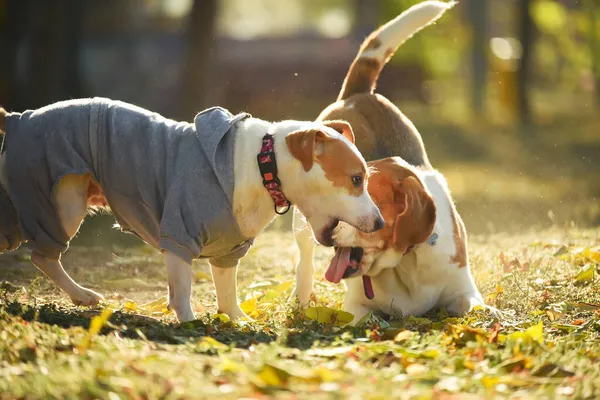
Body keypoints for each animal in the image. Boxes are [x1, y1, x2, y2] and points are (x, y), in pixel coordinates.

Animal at [0, 97, 384, 322]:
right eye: (355, 179)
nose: (381, 222)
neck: (263, 165)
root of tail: (19, 118)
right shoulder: (179, 234)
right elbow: (181, 288)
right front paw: (189, 321)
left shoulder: (229, 248)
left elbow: (227, 289)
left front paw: (236, 320)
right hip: (61, 200)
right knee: (43, 254)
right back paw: (80, 294)